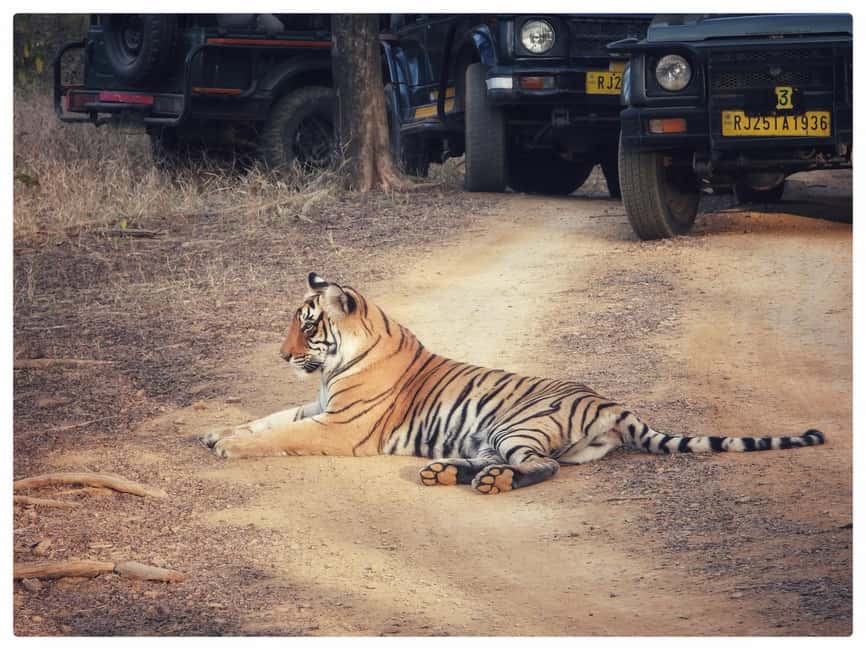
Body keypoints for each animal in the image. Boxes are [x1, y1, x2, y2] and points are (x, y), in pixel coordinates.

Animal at [200, 272, 826, 495]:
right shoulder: (317, 407)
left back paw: (488, 483)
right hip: (492, 436)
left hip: (517, 426)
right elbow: (267, 419)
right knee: (500, 462)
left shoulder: (338, 427)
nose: (282, 355)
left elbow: (277, 435)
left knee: (540, 468)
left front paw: (229, 447)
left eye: (307, 326)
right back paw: (445, 472)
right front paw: (214, 433)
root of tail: (615, 404)